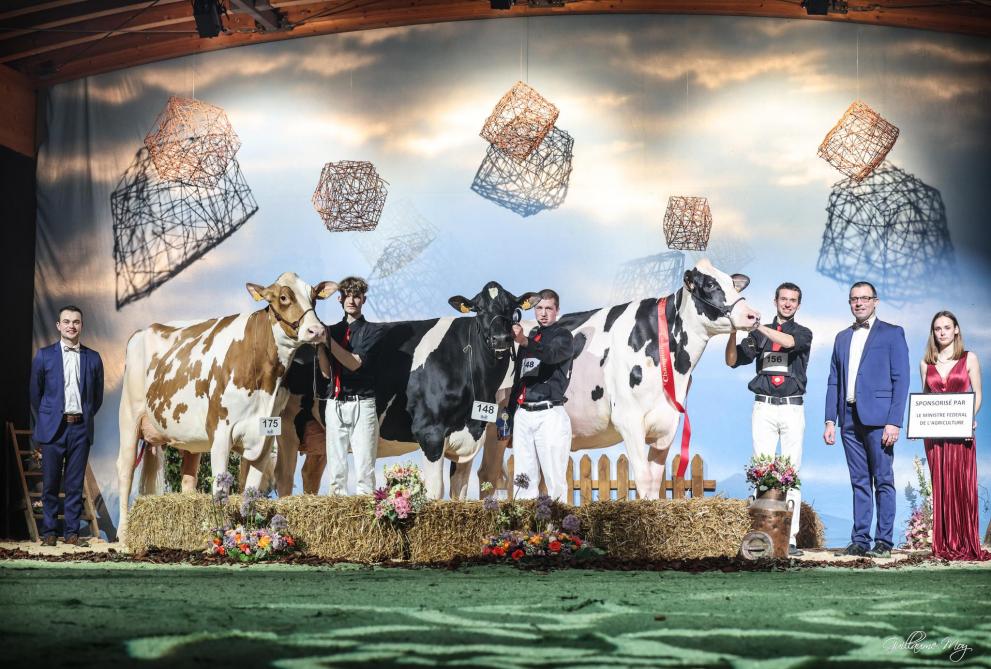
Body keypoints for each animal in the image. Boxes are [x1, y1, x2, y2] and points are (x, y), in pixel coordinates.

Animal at [115, 272, 336, 536]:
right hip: (129, 417)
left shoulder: (265, 438)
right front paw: (221, 533)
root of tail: (144, 330)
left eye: (314, 296)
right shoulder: (220, 433)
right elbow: (220, 492)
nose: (317, 330)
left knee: (188, 478)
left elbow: (251, 493)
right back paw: (123, 533)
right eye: (284, 297)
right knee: (125, 469)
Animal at [470, 258, 760, 498]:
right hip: (494, 430)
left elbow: (655, 484)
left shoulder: (667, 426)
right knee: (487, 474)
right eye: (710, 284)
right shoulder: (628, 419)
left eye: (732, 283)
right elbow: (642, 479)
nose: (753, 315)